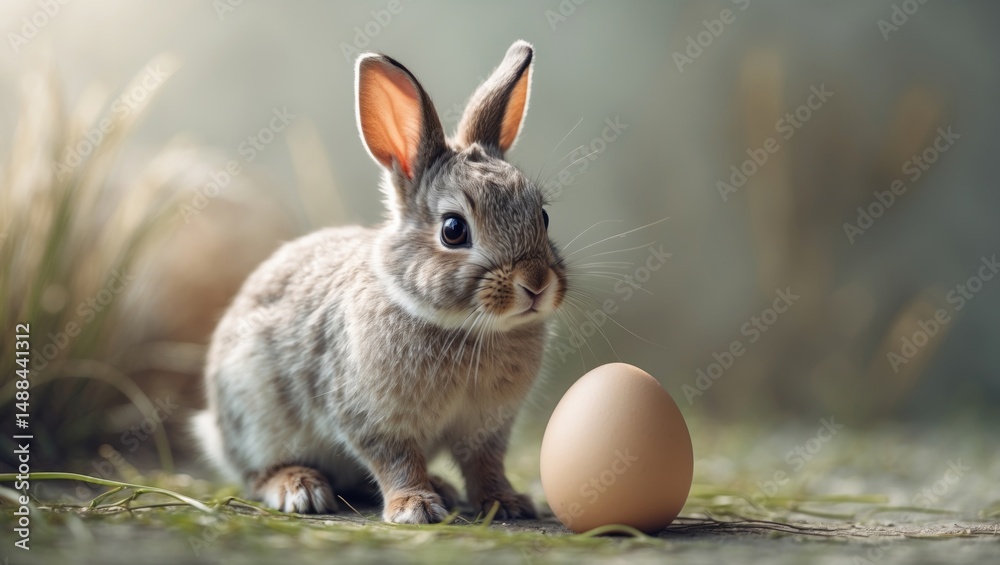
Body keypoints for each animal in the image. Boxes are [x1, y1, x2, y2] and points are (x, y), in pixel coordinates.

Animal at [192, 40, 567, 524]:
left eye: (543, 216)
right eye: (453, 230)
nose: (536, 283)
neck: (466, 328)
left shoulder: (487, 427)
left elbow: (485, 465)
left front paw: (508, 502)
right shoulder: (373, 420)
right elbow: (396, 462)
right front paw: (415, 508)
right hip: (253, 412)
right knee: (259, 473)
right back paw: (300, 489)